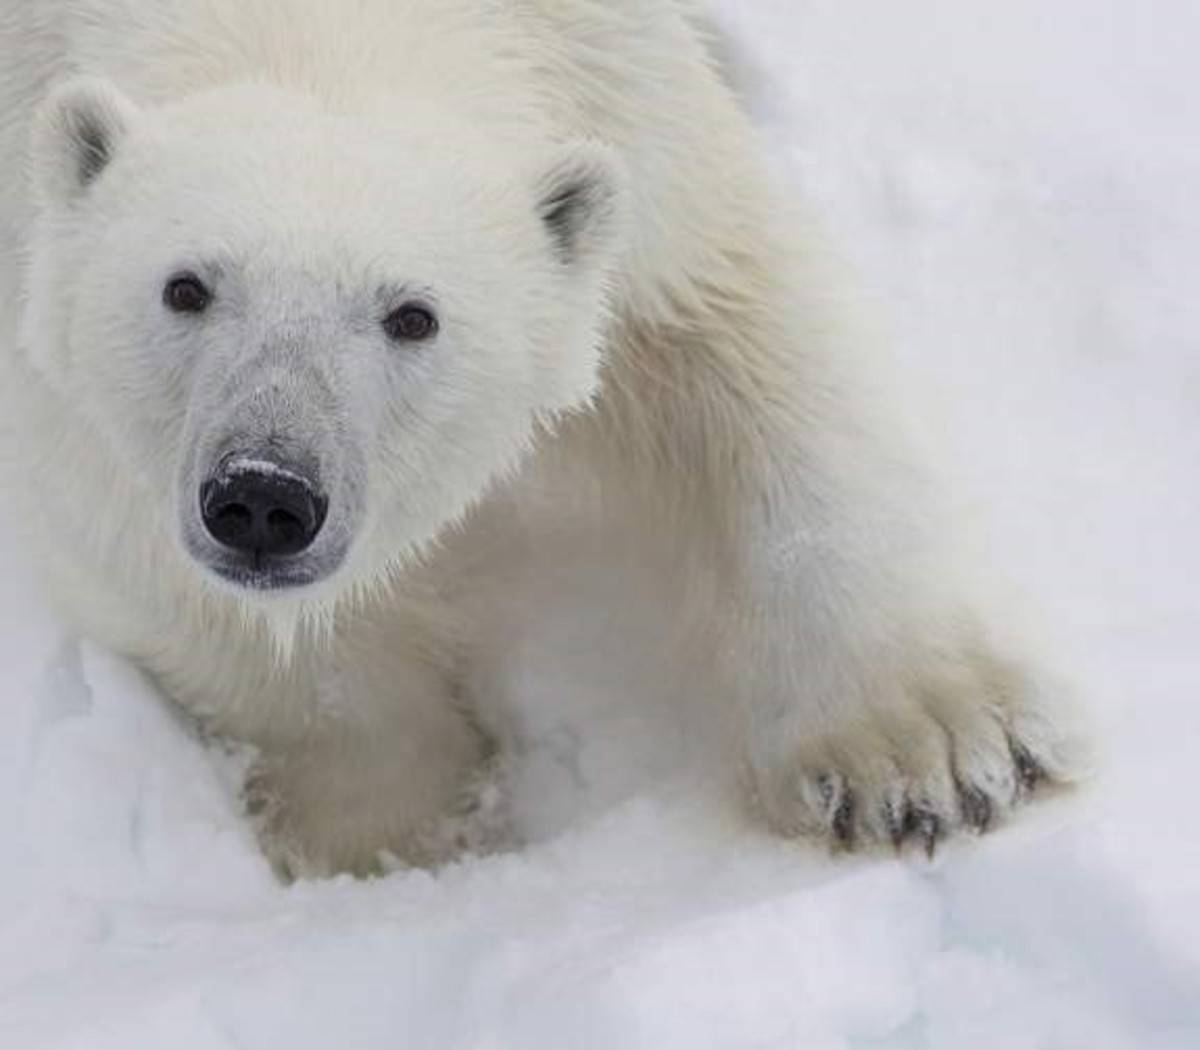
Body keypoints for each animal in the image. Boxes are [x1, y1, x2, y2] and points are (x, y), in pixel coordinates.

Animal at [0, 0, 1089, 878]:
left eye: (413, 315)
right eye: (185, 286)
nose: (266, 494)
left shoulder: (625, 95)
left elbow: (749, 337)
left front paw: (928, 757)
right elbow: (153, 560)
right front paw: (386, 838)